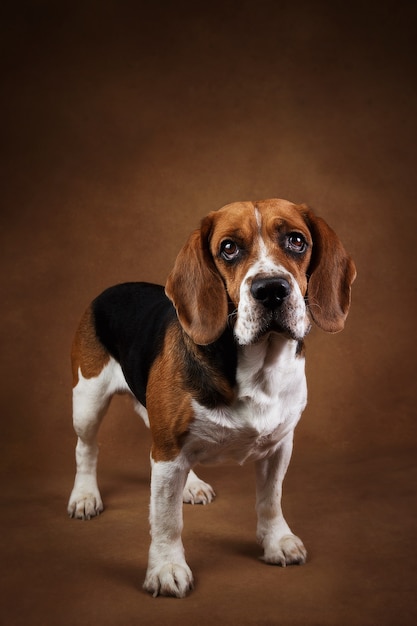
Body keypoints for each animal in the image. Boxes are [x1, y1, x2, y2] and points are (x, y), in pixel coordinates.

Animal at [67, 199, 354, 596]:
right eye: (229, 248)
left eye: (297, 240)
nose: (271, 289)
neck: (258, 368)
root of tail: (112, 288)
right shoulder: (168, 450)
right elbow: (167, 519)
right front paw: (167, 568)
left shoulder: (280, 444)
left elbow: (271, 500)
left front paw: (276, 541)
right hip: (88, 400)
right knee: (87, 449)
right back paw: (84, 496)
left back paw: (191, 484)